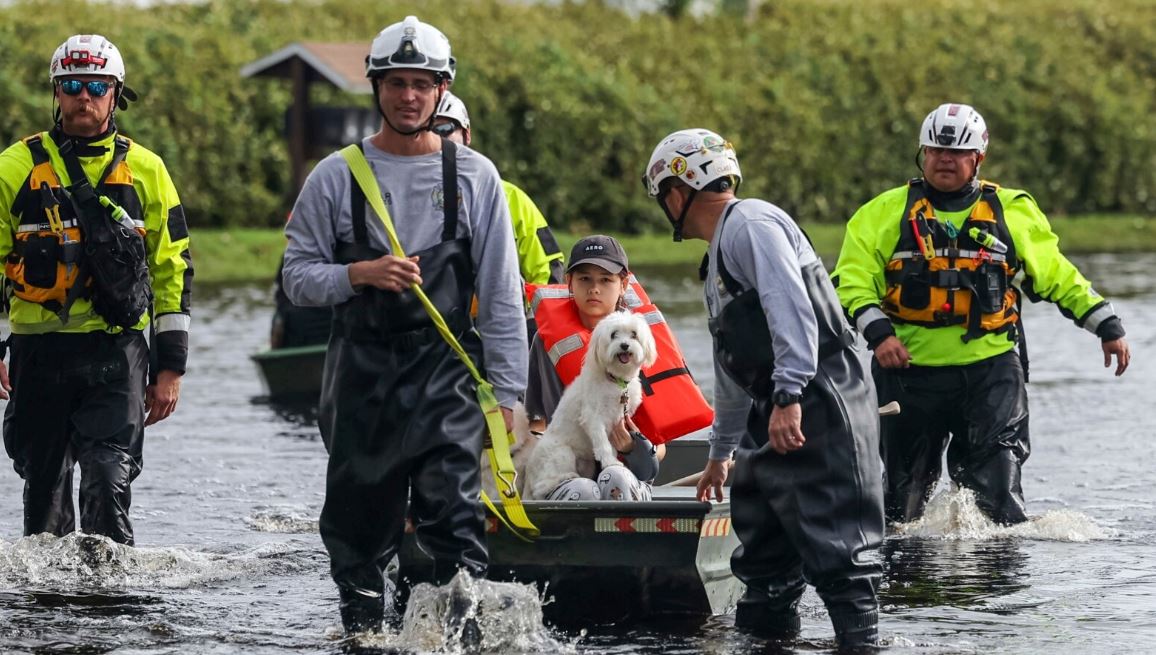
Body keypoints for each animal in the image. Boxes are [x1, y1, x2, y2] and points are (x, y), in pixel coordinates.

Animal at [527, 311, 661, 501]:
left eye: (634, 334)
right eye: (613, 334)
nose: (625, 345)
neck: (615, 381)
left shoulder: (617, 421)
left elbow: (611, 445)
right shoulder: (593, 418)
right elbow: (602, 442)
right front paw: (611, 462)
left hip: (585, 463)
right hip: (561, 453)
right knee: (541, 487)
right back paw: (565, 476)